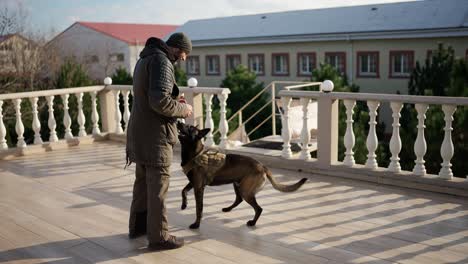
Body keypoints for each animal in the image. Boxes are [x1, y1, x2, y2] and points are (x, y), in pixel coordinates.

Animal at [176, 122, 308, 229]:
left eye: (190, 128)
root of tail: (262, 166)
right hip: (238, 184)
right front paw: (184, 205)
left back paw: (252, 223)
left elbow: (199, 209)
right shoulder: (193, 183)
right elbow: (183, 191)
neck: (194, 154)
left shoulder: (198, 188)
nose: (178, 122)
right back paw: (228, 209)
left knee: (258, 208)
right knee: (239, 199)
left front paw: (196, 224)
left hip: (245, 191)